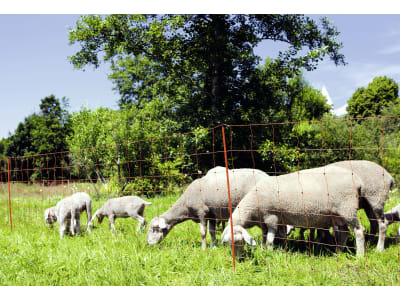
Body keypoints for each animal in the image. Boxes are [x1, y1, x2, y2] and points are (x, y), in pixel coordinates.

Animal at [220, 165, 368, 256]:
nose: (239, 259)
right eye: (228, 244)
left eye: (240, 242)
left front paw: (269, 252)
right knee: (344, 232)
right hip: (338, 215)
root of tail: (357, 180)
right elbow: (265, 237)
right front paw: (264, 249)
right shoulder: (267, 221)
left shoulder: (271, 217)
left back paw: (359, 256)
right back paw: (338, 252)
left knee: (359, 231)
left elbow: (270, 239)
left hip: (347, 208)